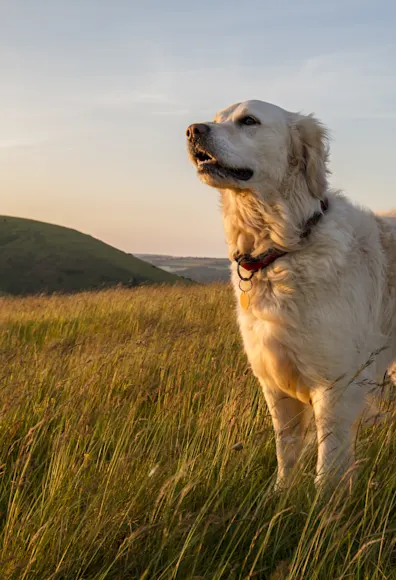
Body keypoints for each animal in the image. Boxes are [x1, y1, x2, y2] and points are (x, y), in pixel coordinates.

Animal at [186, 99, 396, 490]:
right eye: (217, 118)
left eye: (249, 120)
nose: (193, 130)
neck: (285, 245)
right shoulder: (275, 385)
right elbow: (287, 451)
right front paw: (279, 494)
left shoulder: (336, 387)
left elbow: (327, 469)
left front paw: (321, 505)